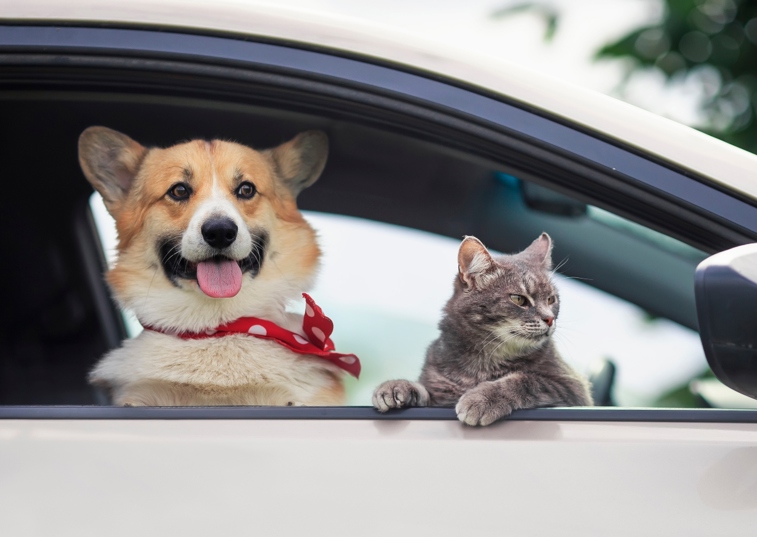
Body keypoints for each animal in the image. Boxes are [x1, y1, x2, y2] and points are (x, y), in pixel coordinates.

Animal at [370, 232, 592, 426]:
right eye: (519, 299)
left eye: (551, 299)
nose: (550, 318)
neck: (484, 360)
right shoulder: (438, 391)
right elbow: (424, 390)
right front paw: (397, 385)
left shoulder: (573, 388)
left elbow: (527, 380)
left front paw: (483, 399)